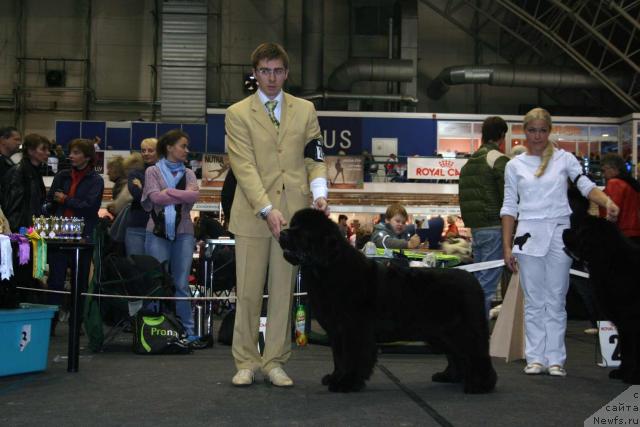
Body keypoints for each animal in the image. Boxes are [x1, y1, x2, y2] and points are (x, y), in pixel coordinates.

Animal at [278, 209, 498, 392]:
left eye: (303, 230)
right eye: (293, 225)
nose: (282, 233)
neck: (329, 268)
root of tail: (473, 279)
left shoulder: (354, 329)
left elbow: (352, 357)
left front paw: (346, 383)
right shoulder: (337, 330)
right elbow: (339, 358)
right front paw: (335, 378)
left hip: (463, 330)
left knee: (476, 354)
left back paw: (480, 385)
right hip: (443, 333)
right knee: (457, 355)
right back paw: (450, 376)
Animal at [564, 207, 636, 384]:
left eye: (579, 230)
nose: (564, 230)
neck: (610, 260)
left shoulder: (631, 319)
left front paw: (632, 376)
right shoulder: (624, 323)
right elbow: (626, 350)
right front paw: (622, 373)